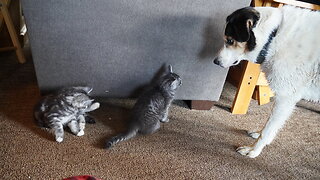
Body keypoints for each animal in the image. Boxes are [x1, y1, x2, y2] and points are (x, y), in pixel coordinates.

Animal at [214, 5, 318, 158]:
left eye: (230, 41)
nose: (215, 62)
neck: (273, 37)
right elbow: (269, 127)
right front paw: (259, 135)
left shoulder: (286, 98)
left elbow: (268, 129)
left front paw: (253, 150)